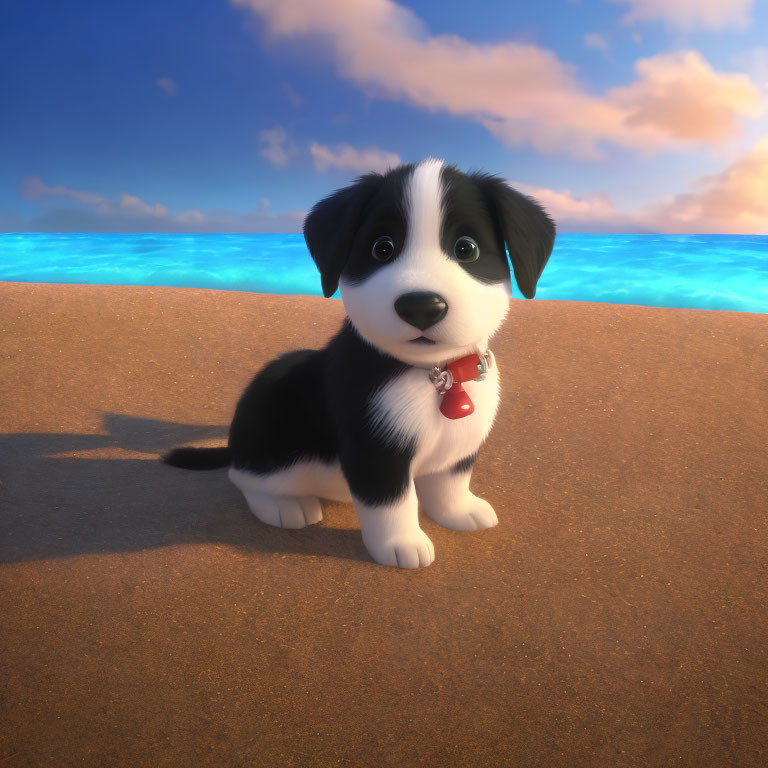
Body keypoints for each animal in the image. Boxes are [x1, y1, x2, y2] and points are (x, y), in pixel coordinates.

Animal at [165, 159, 556, 568]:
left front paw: (459, 511)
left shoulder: (460, 442)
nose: (421, 306)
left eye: (467, 248)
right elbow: (392, 503)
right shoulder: (374, 451)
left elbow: (451, 481)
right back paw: (284, 506)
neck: (436, 375)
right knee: (243, 478)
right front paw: (401, 544)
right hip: (270, 436)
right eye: (382, 248)